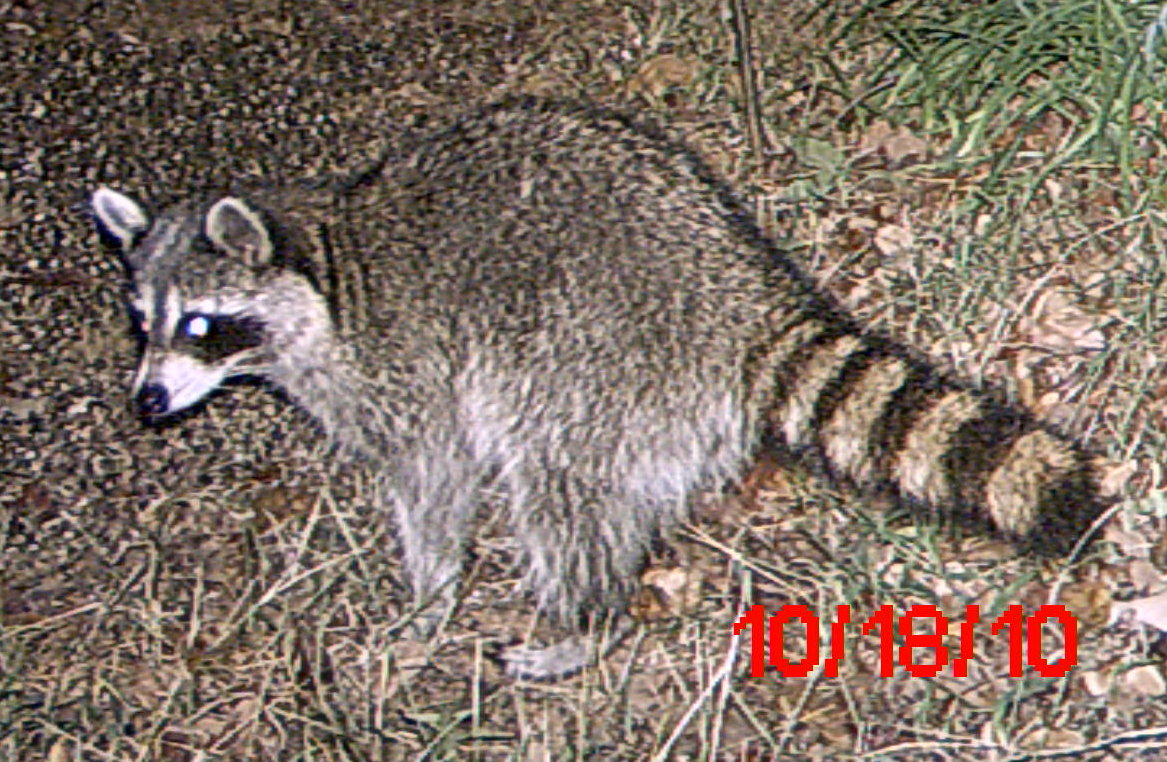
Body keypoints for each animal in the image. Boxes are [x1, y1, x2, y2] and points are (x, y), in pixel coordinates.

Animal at [91, 98, 1105, 679]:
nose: (147, 402)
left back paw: (586, 619)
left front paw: (429, 595)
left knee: (557, 486)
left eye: (202, 326)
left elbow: (433, 475)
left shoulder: (404, 365)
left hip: (590, 353)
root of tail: (739, 291)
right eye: (144, 321)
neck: (329, 265)